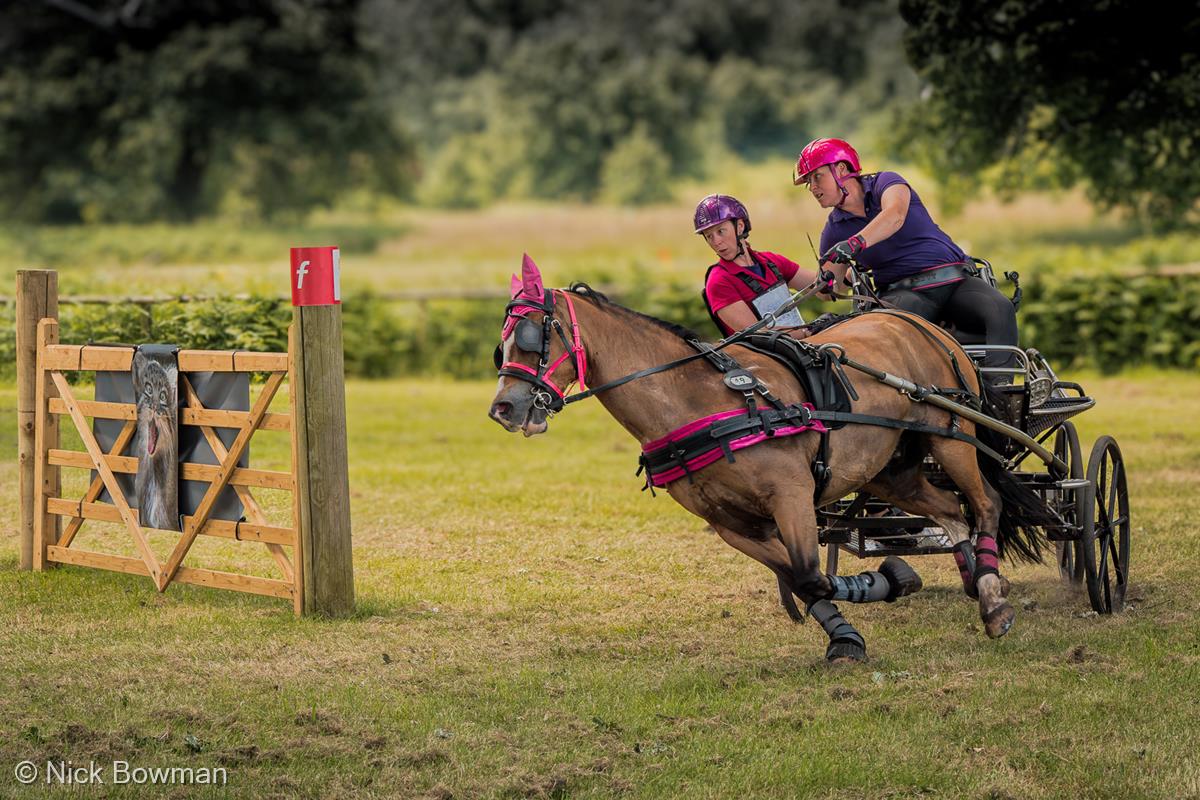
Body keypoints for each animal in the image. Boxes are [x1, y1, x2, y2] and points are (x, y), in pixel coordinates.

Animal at [487, 256, 1032, 662]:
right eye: (501, 345)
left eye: (534, 335)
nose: (504, 409)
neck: (698, 401)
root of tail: (915, 321)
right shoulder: (730, 522)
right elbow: (800, 579)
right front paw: (858, 622)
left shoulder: (790, 494)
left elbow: (810, 572)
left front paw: (886, 583)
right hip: (888, 470)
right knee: (950, 511)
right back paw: (978, 579)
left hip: (952, 436)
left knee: (985, 504)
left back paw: (992, 599)